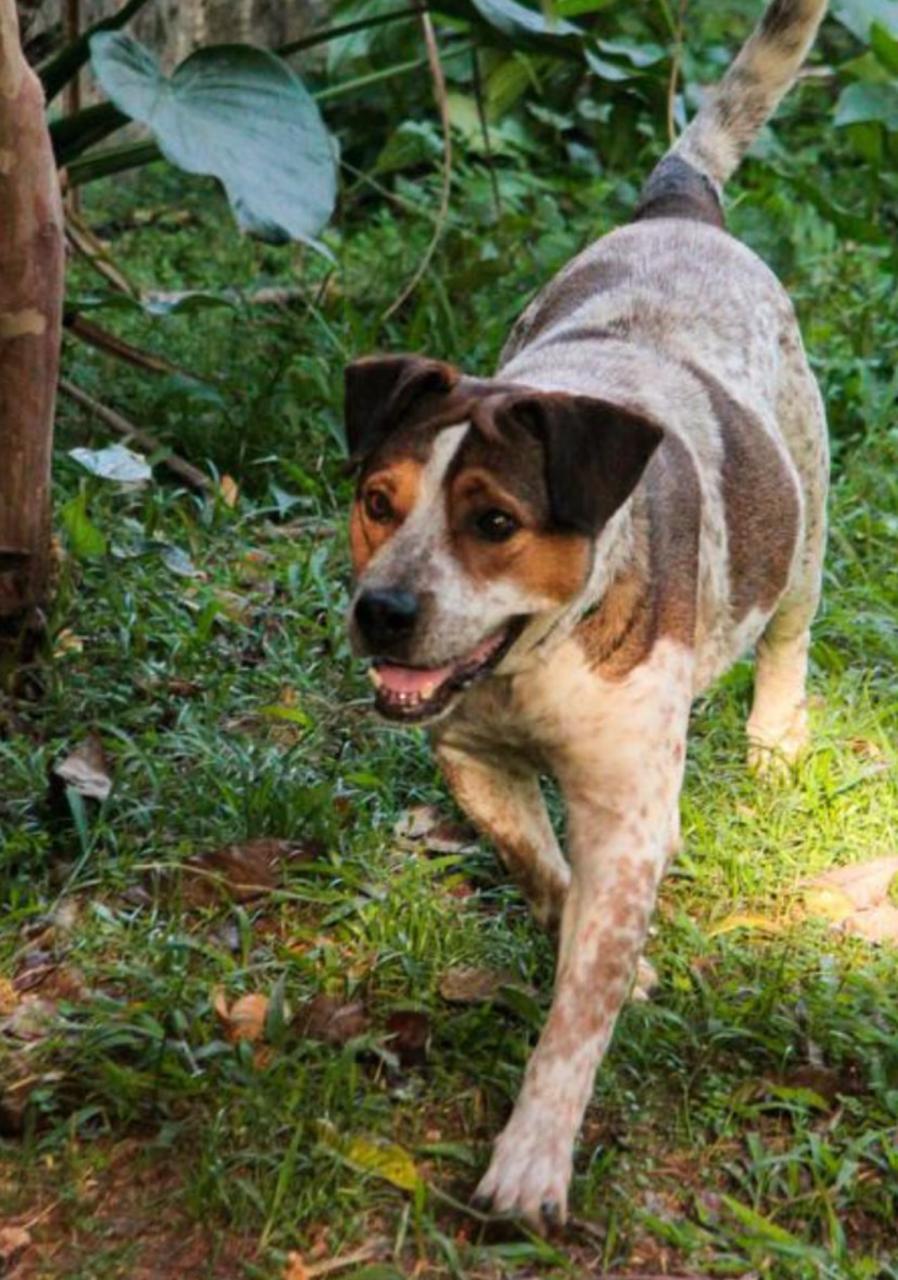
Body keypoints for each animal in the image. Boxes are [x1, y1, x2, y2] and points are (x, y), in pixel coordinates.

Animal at [342, 0, 828, 1233]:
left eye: (495, 521)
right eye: (378, 502)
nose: (382, 613)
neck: (532, 664)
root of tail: (678, 206)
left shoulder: (622, 794)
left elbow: (580, 1003)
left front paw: (531, 1159)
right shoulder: (475, 762)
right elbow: (548, 875)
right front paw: (612, 949)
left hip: (807, 508)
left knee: (789, 626)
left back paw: (774, 738)